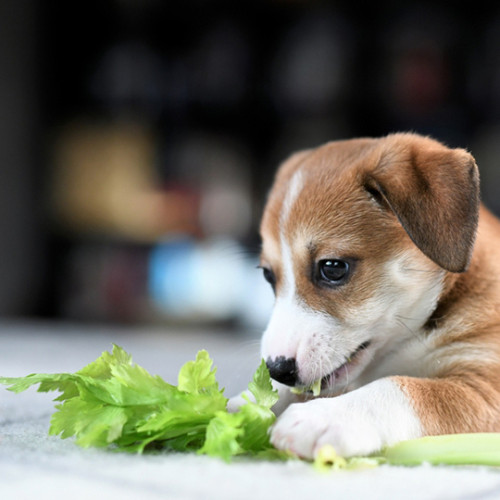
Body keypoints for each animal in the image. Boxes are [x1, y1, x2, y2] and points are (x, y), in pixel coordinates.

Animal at [256, 132, 500, 458]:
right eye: (268, 276)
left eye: (333, 267)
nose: (277, 369)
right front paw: (241, 404)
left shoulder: (486, 387)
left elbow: (402, 388)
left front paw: (325, 417)